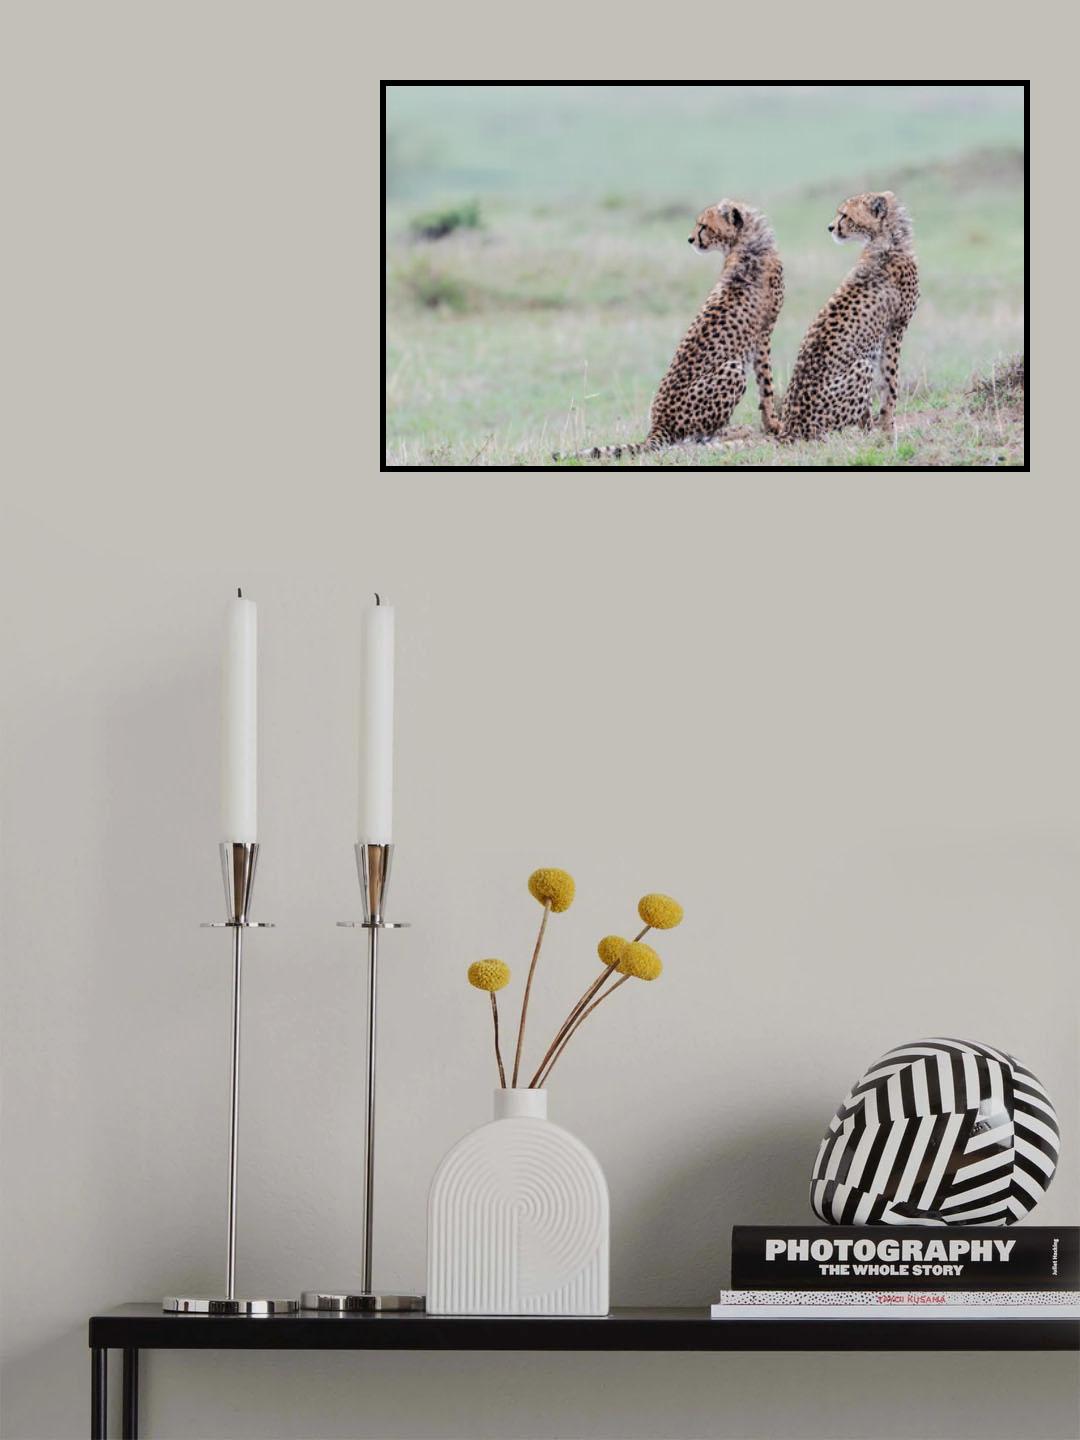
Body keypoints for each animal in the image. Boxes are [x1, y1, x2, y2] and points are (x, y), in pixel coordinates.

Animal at [553, 200, 784, 461]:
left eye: (703, 226)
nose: (690, 239)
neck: (746, 242)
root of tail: (658, 425)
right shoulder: (764, 335)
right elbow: (766, 385)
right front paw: (773, 424)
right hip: (732, 369)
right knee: (698, 436)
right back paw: (738, 430)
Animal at [779, 191, 919, 442]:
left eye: (845, 215)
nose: (830, 227)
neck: (886, 238)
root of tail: (789, 429)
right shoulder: (896, 328)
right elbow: (891, 383)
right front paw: (888, 429)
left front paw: (879, 429)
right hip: (862, 366)